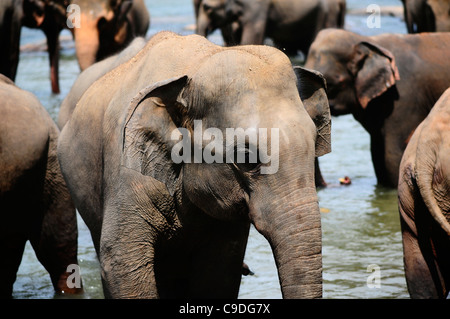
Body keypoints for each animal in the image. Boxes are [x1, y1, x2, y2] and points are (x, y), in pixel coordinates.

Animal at [58, 31, 332, 298]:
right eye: (247, 159)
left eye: (313, 145)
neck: (195, 68)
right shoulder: (126, 172)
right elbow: (121, 262)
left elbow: (218, 273)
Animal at [304, 28, 450, 189]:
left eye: (330, 84)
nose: (345, 180)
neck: (367, 42)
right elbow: (377, 155)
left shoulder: (404, 98)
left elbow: (393, 155)